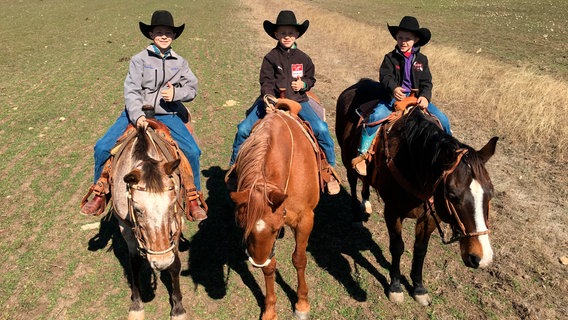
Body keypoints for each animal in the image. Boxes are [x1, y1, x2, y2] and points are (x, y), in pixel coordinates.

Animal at [112, 126, 187, 318]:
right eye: (137, 209)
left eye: (171, 205)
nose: (161, 262)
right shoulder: (126, 230)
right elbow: (134, 264)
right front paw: (136, 305)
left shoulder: (175, 224)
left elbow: (175, 265)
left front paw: (178, 308)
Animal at [230, 97, 320, 320]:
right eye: (242, 225)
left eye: (275, 227)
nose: (257, 262)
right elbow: (270, 267)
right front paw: (270, 309)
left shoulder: (305, 220)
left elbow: (299, 259)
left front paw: (302, 304)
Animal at [336, 79, 500, 304]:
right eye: (452, 195)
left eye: (490, 193)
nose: (481, 258)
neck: (412, 161)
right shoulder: (393, 211)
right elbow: (397, 247)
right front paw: (395, 286)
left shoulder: (430, 215)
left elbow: (420, 250)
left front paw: (419, 288)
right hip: (347, 159)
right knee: (353, 181)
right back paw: (356, 216)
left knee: (366, 181)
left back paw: (366, 203)